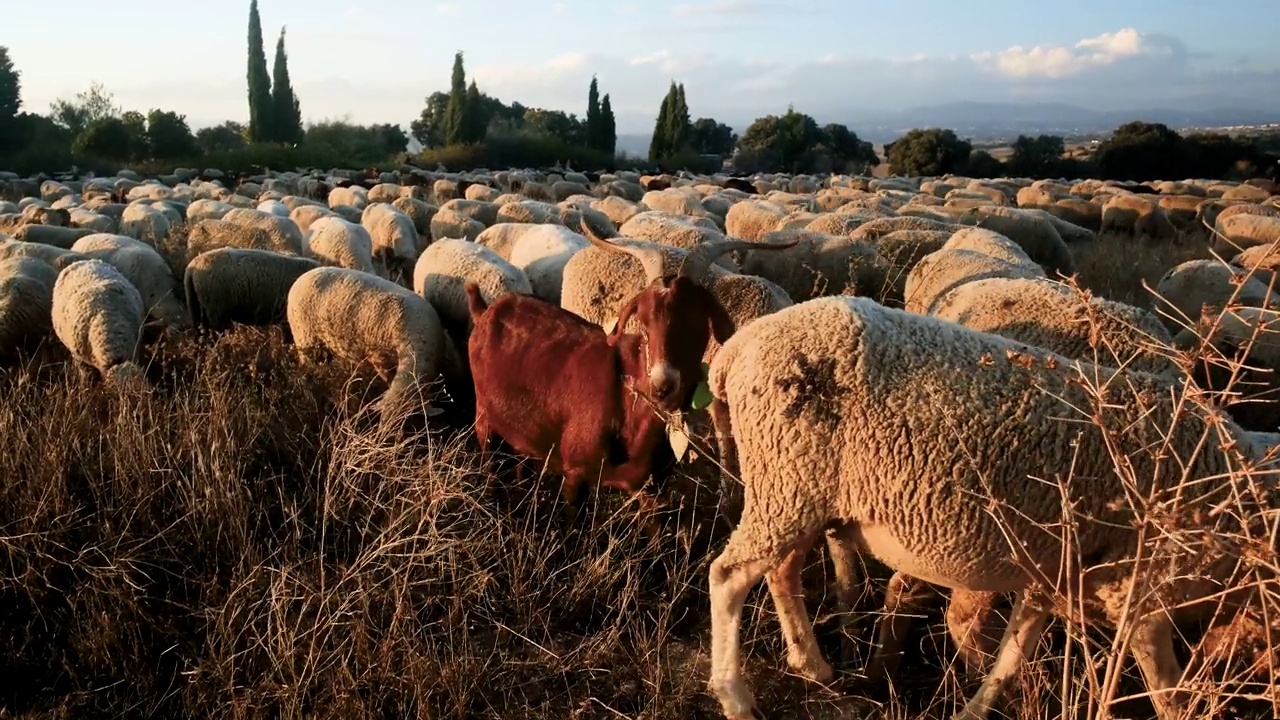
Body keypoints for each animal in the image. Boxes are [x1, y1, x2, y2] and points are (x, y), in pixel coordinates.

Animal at [285, 266, 450, 417]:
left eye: (407, 419)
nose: (384, 431)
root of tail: (302, 277)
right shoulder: (378, 355)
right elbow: (387, 376)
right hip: (304, 336)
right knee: (306, 369)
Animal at [465, 226, 788, 525]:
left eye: (699, 321)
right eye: (642, 321)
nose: (662, 386)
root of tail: (487, 310)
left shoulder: (652, 490)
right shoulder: (575, 477)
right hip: (486, 424)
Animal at [706, 289, 1264, 717]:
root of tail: (737, 348)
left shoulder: (1054, 579)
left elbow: (1012, 653)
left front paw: (977, 709)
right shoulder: (1141, 587)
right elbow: (1167, 691)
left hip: (796, 489)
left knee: (781, 570)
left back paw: (813, 666)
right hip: (788, 477)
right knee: (728, 576)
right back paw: (735, 697)